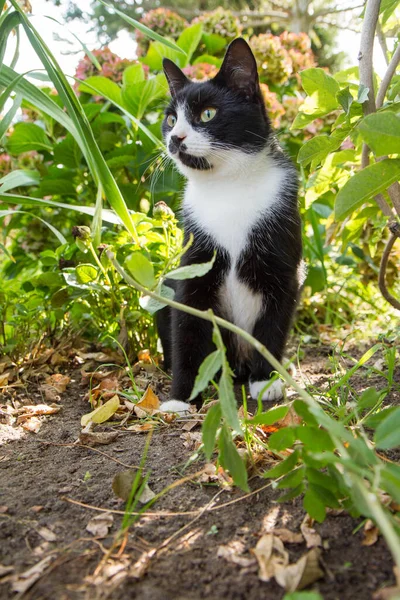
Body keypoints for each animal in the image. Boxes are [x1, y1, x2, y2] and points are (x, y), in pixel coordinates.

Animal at [158, 36, 302, 412]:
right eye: (170, 119)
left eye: (208, 114)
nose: (175, 138)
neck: (228, 187)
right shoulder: (194, 262)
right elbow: (187, 326)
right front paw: (180, 397)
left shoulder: (283, 265)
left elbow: (273, 324)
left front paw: (266, 381)